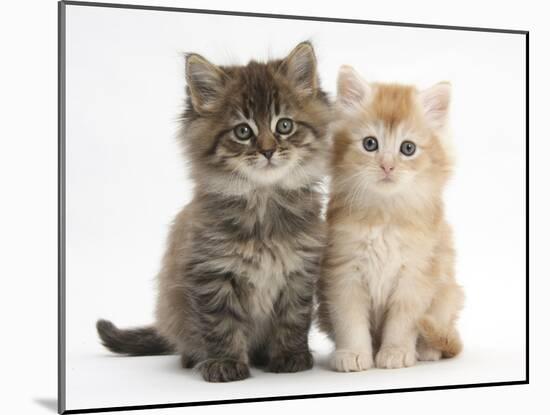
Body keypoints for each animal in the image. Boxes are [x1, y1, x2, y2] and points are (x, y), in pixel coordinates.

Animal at [97, 42, 332, 384]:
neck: (262, 202)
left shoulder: (299, 272)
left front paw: (290, 357)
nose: (267, 150)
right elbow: (221, 324)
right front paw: (225, 364)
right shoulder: (212, 271)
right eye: (243, 131)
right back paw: (192, 358)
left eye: (284, 126)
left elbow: (293, 319)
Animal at [320, 66, 466, 372]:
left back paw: (427, 350)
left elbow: (402, 322)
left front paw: (396, 352)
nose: (387, 166)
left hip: (448, 294)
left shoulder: (415, 275)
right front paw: (352, 354)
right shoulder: (343, 271)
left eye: (407, 148)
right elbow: (350, 321)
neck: (384, 216)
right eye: (370, 144)